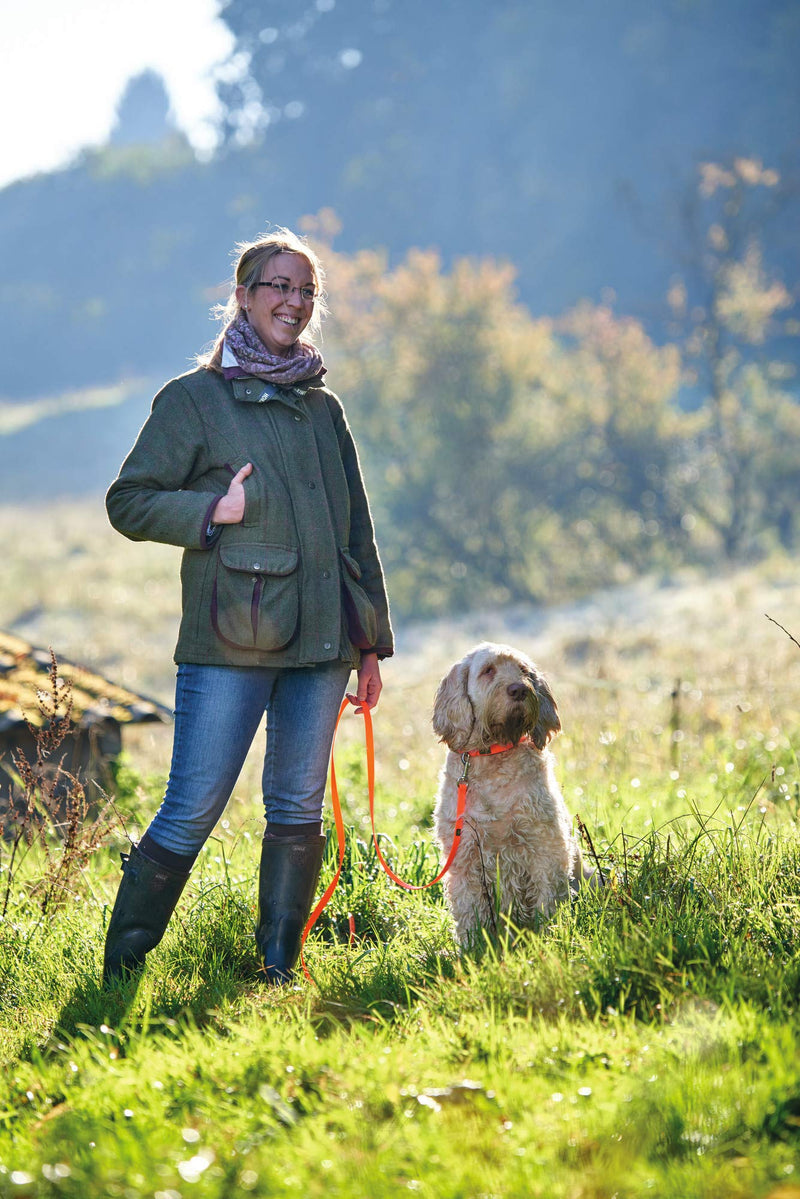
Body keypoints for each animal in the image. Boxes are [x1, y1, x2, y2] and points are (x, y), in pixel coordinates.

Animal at [431, 642, 594, 940]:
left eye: (524, 670)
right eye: (488, 670)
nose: (519, 689)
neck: (495, 753)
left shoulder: (545, 846)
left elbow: (548, 898)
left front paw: (549, 935)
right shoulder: (465, 857)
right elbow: (469, 910)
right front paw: (472, 946)